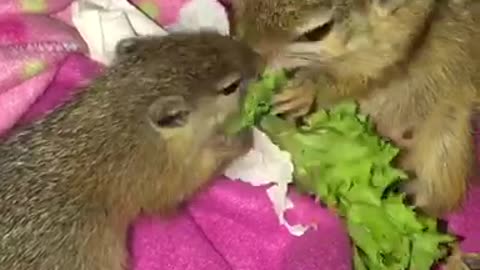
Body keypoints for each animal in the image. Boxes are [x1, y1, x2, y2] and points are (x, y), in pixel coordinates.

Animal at [229, 0, 480, 217]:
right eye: (242, 2)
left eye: (318, 31)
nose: (247, 56)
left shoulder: (391, 44)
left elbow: (355, 78)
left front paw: (304, 91)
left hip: (448, 139)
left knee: (440, 194)